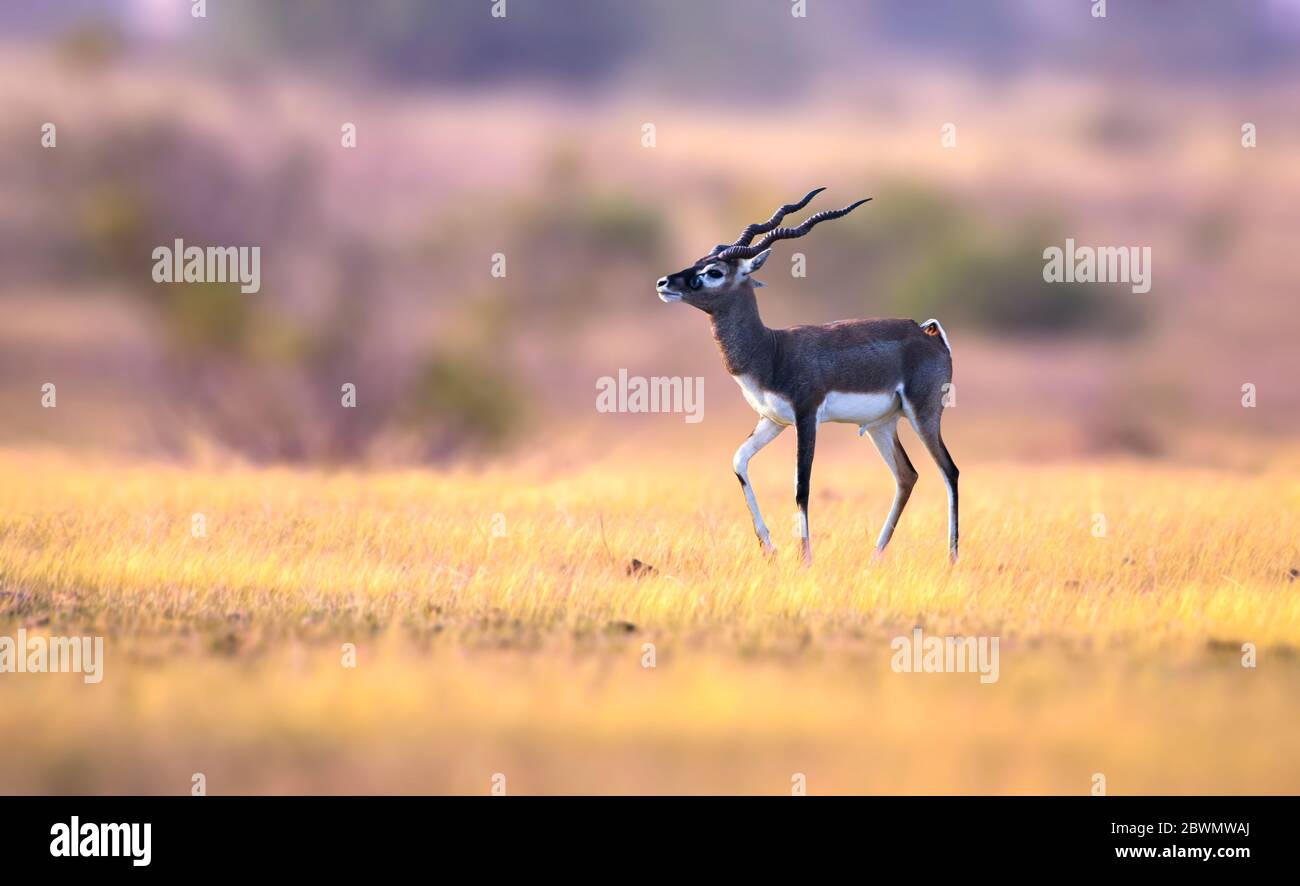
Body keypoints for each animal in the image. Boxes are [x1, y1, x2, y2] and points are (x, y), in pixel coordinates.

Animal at [655, 190, 961, 566]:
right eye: (699, 261)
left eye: (714, 271)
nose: (664, 283)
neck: (772, 350)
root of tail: (929, 335)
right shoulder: (772, 420)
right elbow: (739, 460)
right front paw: (769, 548)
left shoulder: (807, 416)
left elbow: (801, 487)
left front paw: (805, 559)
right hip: (882, 425)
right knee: (907, 476)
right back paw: (875, 556)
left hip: (924, 415)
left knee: (949, 471)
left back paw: (952, 558)